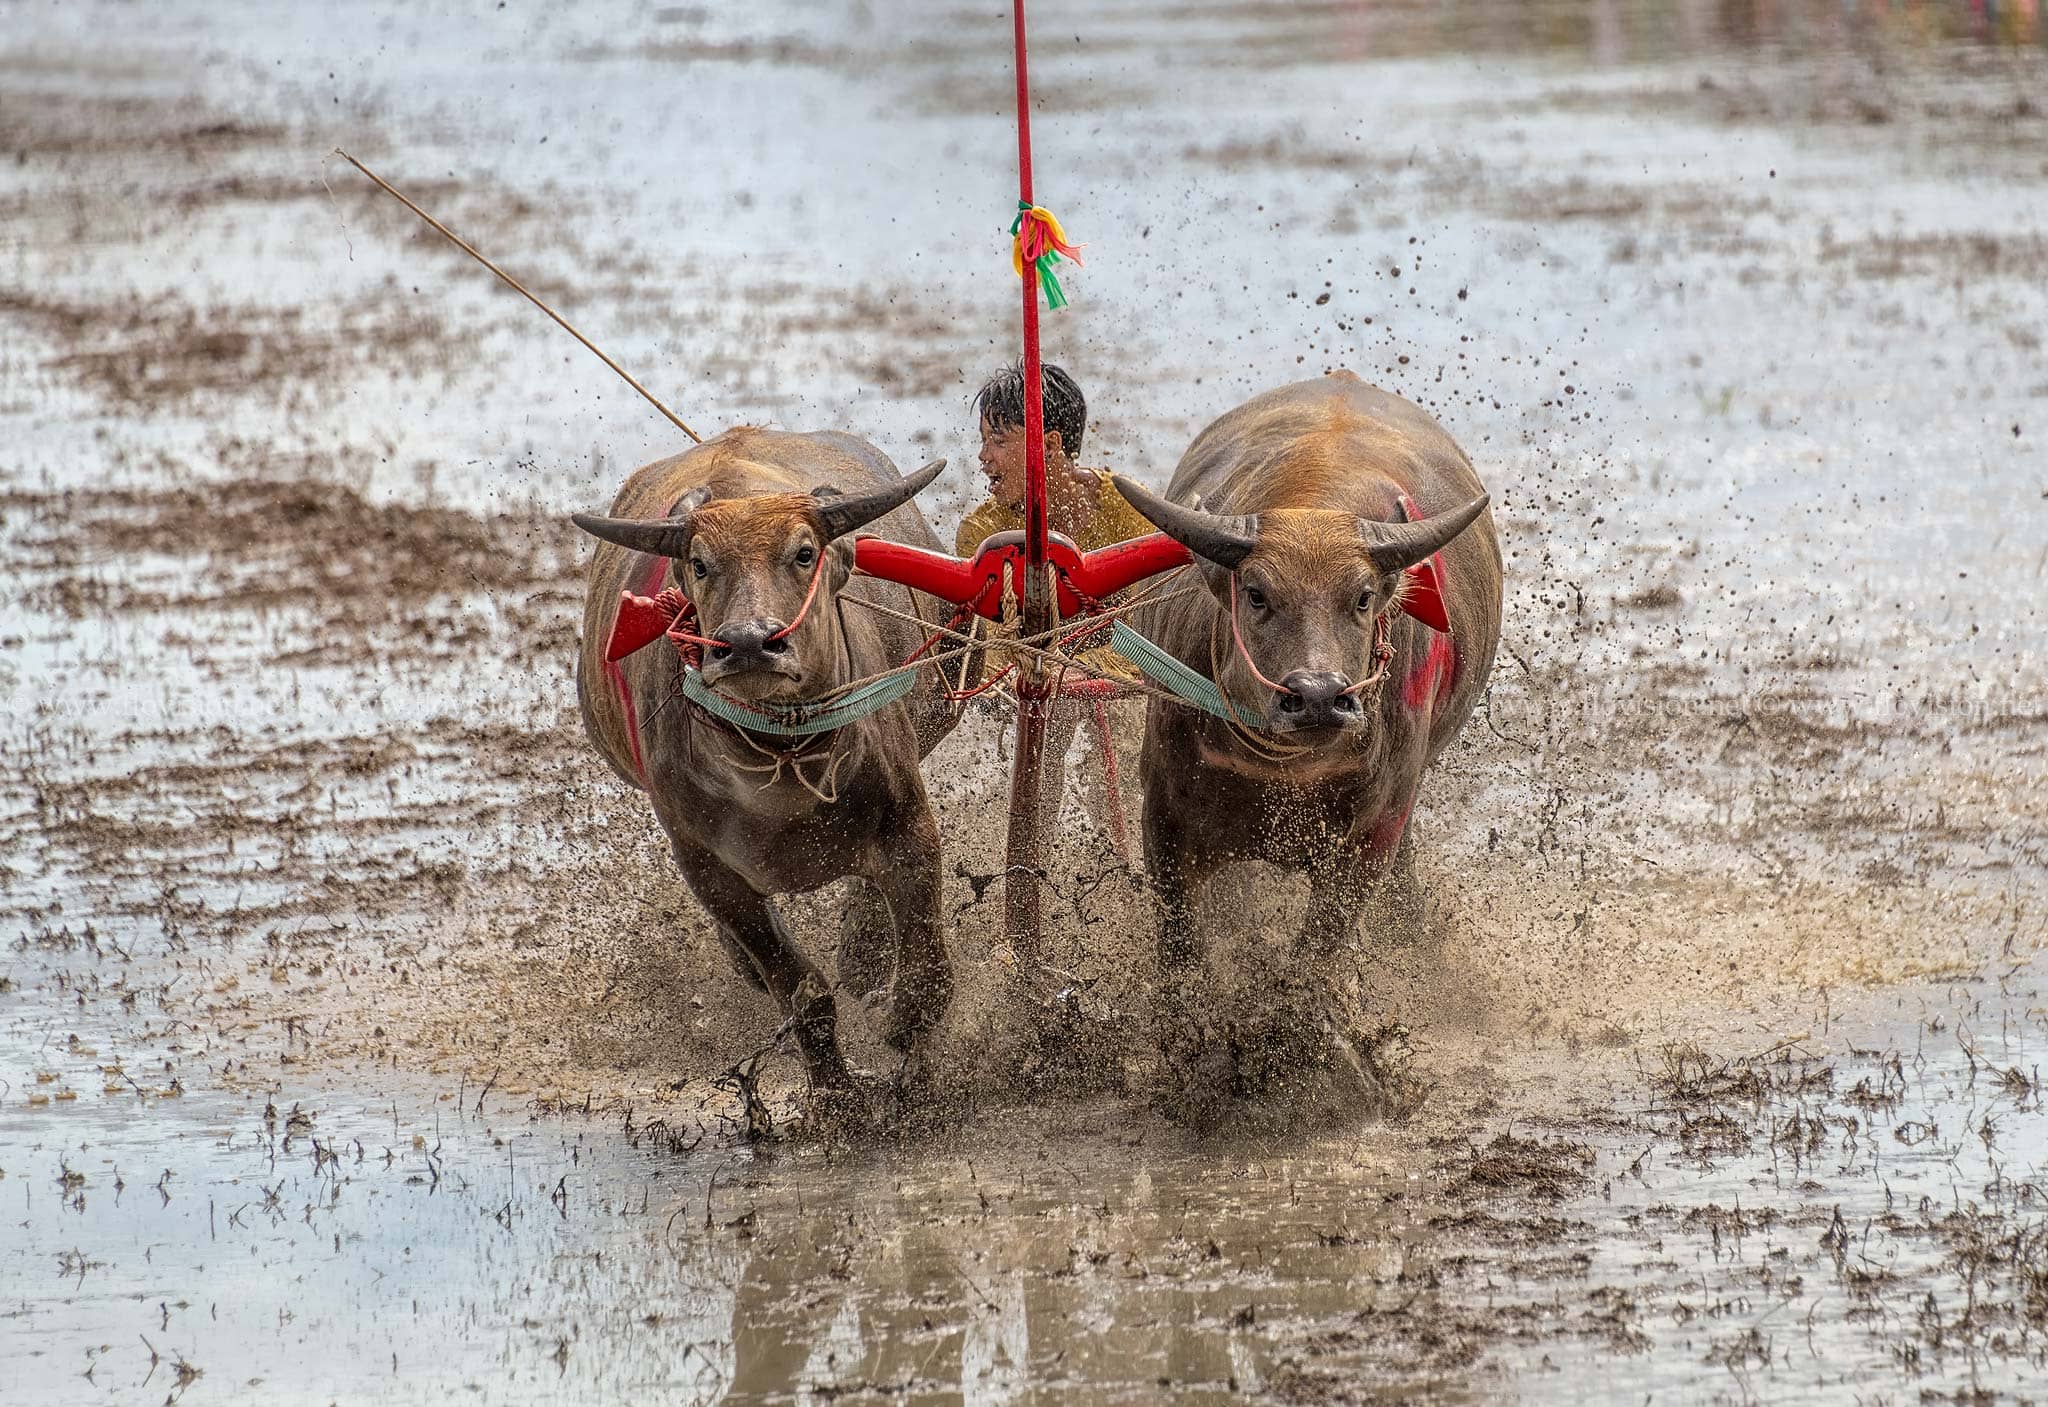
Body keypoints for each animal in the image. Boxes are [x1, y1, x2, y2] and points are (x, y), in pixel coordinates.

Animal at [577, 430, 958, 1097]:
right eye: (700, 564)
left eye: (804, 553)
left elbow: (926, 978)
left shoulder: (909, 825)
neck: (783, 766)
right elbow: (800, 990)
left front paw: (908, 1059)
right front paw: (837, 1100)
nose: (750, 644)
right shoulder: (709, 869)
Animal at [1122, 368, 1507, 974]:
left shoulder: (1371, 835)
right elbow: (1182, 949)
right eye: (1256, 594)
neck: (1287, 767)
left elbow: (1317, 953)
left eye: (1364, 597)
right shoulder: (1164, 814)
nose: (1319, 696)